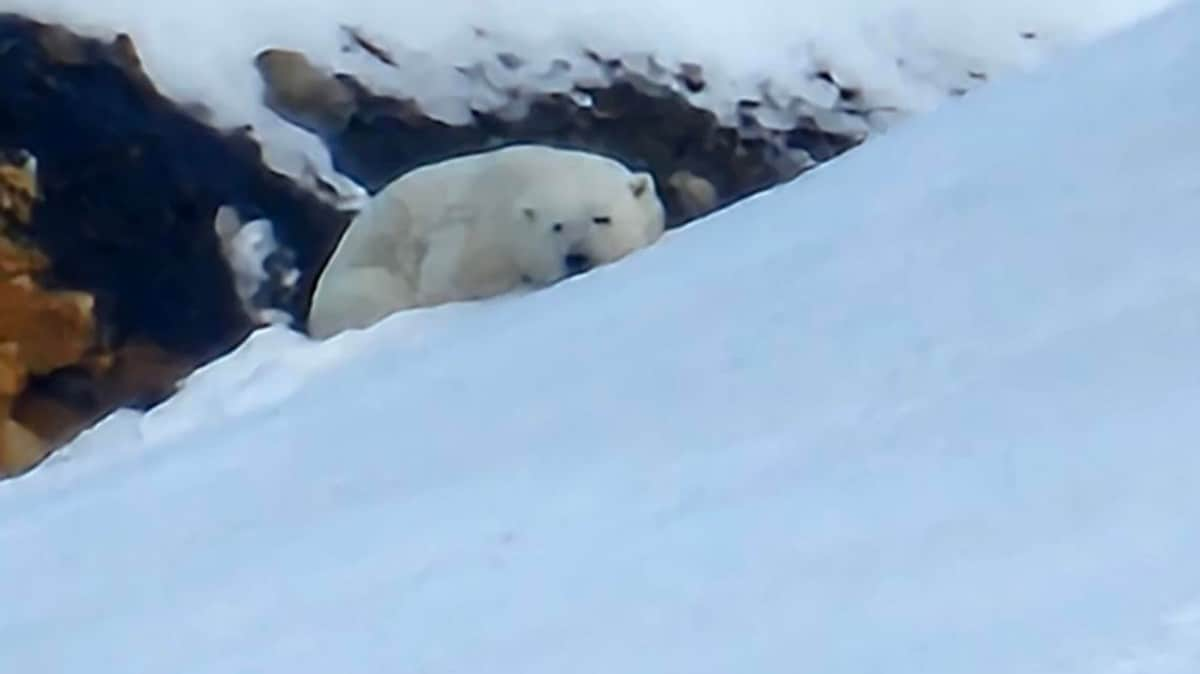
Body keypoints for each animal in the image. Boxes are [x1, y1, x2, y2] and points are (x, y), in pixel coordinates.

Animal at [307, 145, 667, 338]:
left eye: (601, 218)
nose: (577, 257)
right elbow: (445, 278)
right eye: (557, 226)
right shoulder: (477, 229)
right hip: (358, 283)